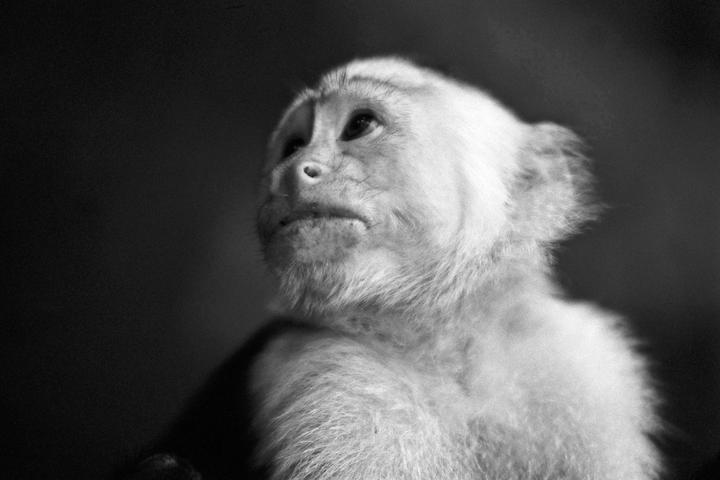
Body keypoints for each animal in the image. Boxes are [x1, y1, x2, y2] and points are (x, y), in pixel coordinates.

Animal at [121, 57, 661, 480]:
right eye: (294, 145)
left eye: (359, 125)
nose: (292, 171)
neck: (444, 347)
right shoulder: (328, 379)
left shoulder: (588, 372)